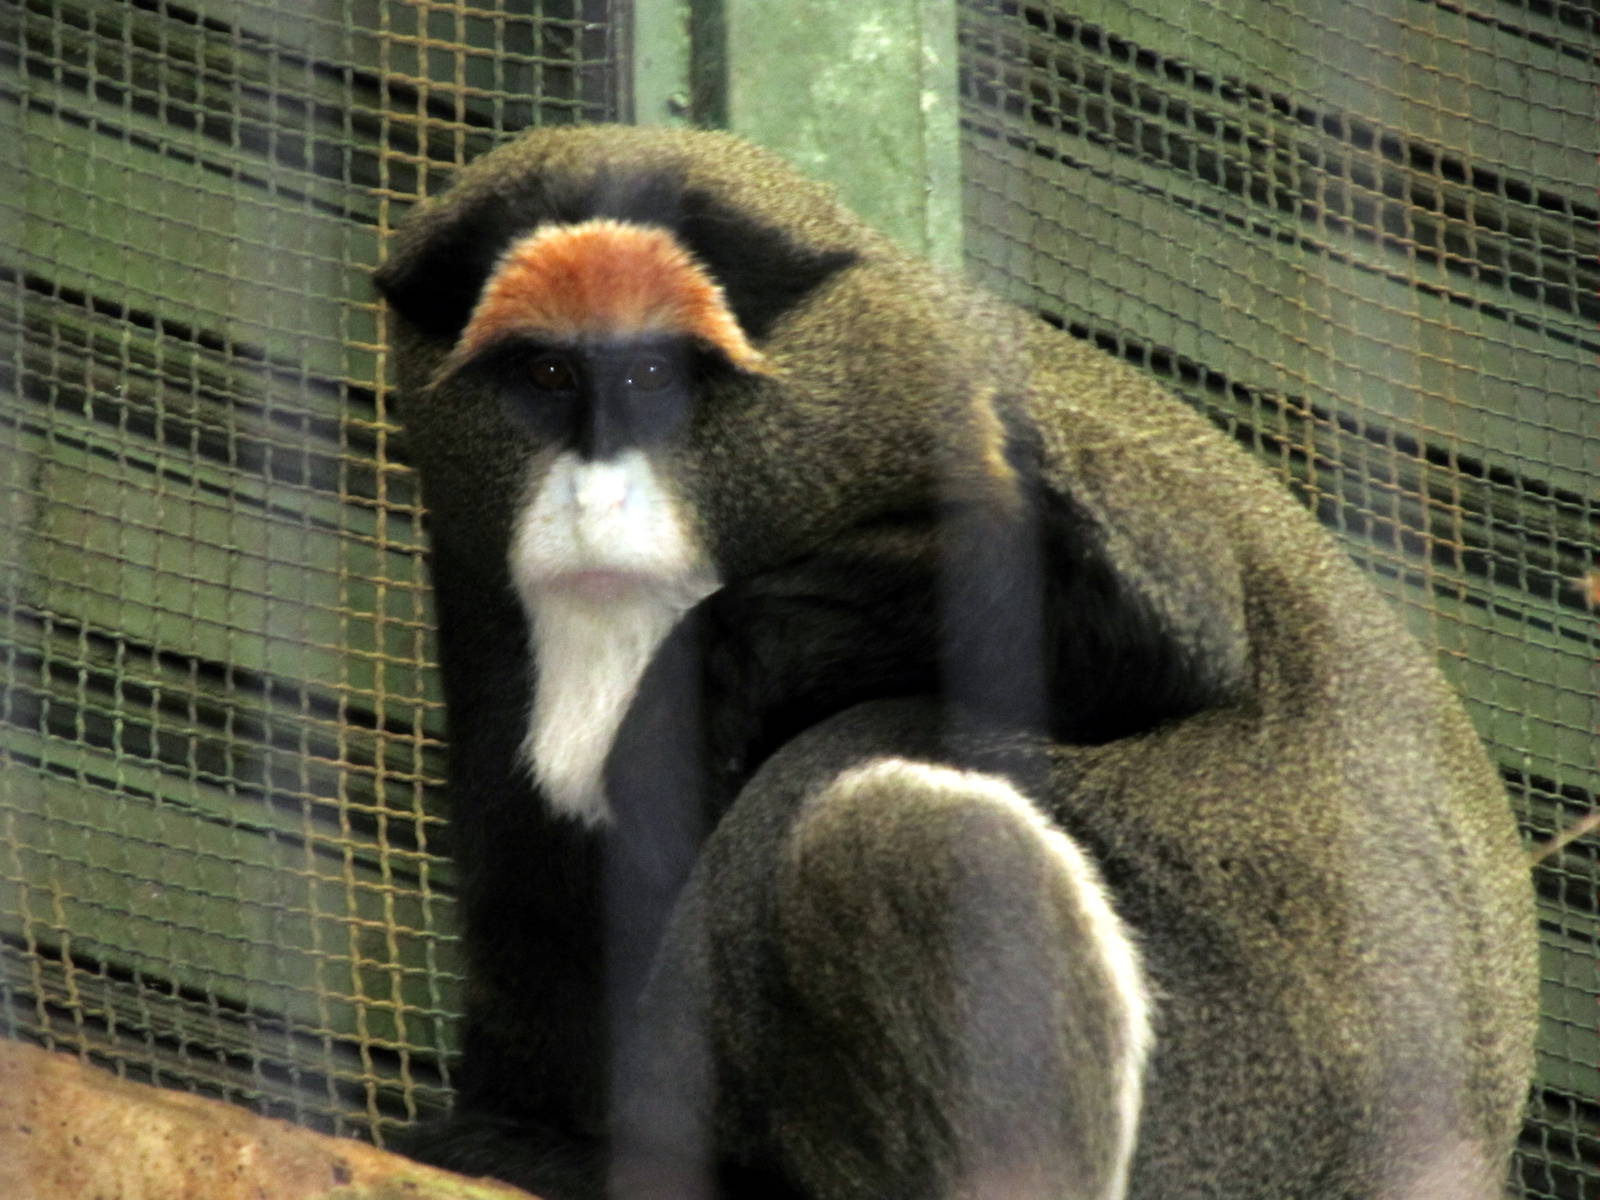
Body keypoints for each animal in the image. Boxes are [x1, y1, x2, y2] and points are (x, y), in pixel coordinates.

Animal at [372, 124, 1536, 1199]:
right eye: (548, 373)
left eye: (654, 374)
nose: (593, 497)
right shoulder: (472, 574)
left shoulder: (925, 405)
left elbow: (1177, 633)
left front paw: (710, 674)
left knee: (893, 822)